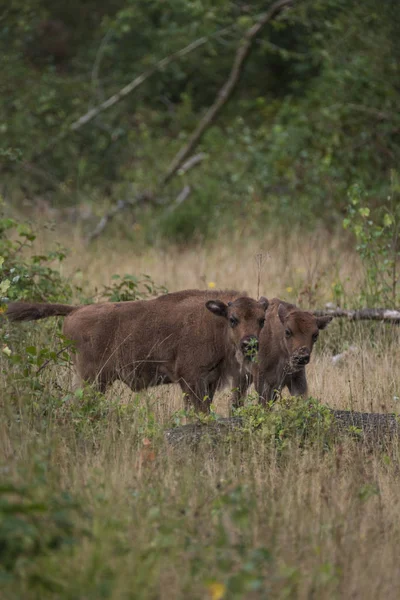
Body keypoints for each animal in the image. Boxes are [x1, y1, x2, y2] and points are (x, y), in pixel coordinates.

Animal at [6, 290, 268, 412]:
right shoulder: (191, 379)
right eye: (233, 319)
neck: (214, 322)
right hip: (92, 379)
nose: (250, 344)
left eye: (262, 320)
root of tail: (75, 311)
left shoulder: (209, 381)